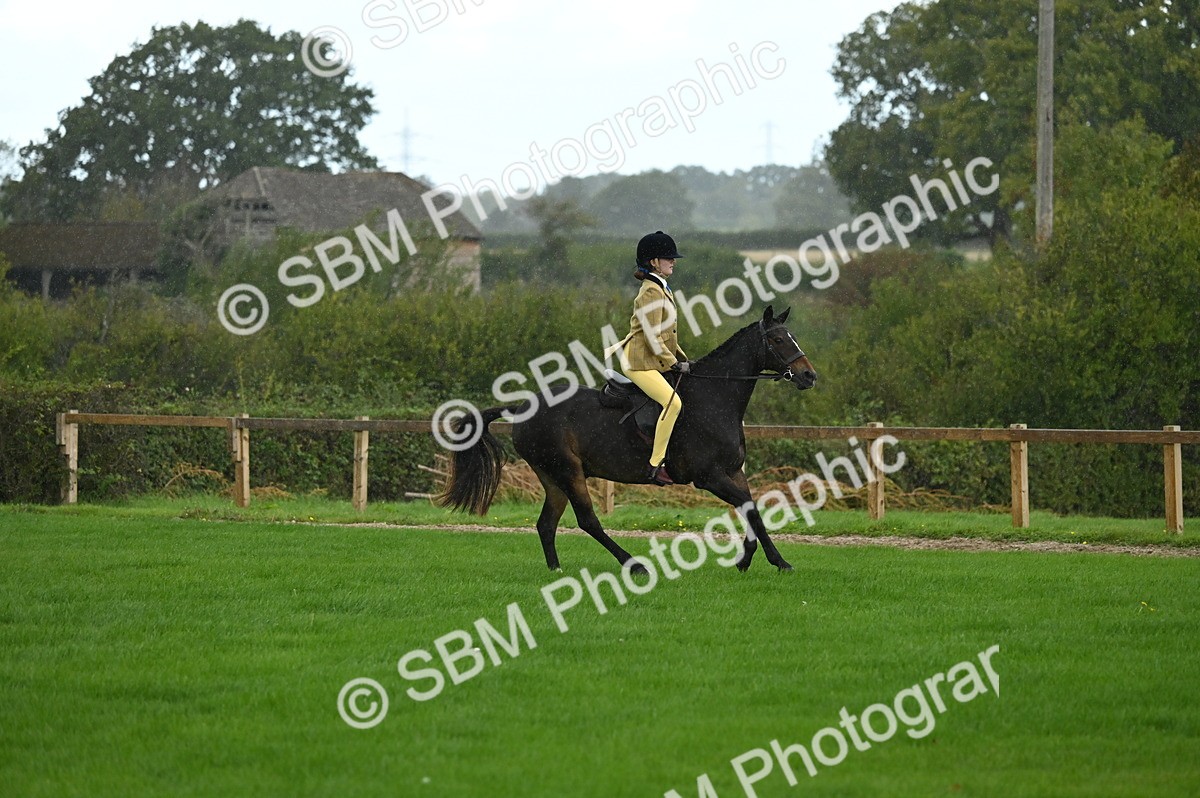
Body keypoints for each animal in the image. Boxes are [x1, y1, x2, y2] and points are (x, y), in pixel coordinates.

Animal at [438, 305, 817, 573]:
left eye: (794, 337)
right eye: (778, 340)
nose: (809, 376)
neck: (715, 397)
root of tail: (524, 406)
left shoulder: (733, 472)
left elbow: (751, 508)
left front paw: (749, 559)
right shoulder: (708, 476)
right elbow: (750, 508)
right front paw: (777, 562)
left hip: (551, 475)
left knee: (547, 523)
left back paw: (556, 570)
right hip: (568, 471)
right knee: (588, 521)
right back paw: (634, 565)